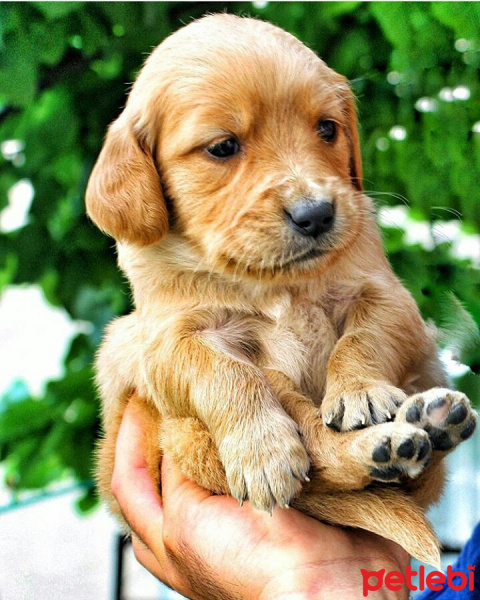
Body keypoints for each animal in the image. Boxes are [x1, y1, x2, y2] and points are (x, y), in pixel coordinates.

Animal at [86, 15, 476, 568]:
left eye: (327, 129)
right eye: (223, 147)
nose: (316, 214)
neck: (272, 283)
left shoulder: (386, 296)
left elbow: (361, 338)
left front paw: (359, 389)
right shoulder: (164, 344)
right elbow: (222, 371)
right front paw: (262, 450)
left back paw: (428, 423)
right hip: (193, 427)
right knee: (320, 453)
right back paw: (389, 444)